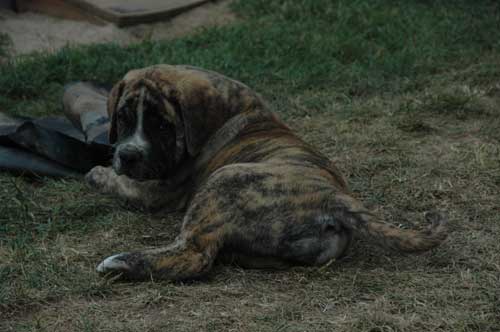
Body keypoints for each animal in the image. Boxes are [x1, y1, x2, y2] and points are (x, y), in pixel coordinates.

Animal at [86, 64, 450, 280]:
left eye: (162, 126)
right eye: (123, 118)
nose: (128, 155)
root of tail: (333, 198)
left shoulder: (159, 190)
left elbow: (121, 182)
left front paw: (96, 174)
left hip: (224, 181)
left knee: (195, 255)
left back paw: (120, 262)